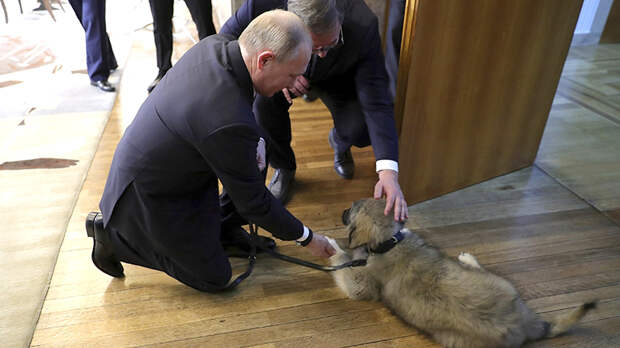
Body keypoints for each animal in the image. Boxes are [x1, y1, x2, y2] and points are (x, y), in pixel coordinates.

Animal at [330, 198, 596, 348]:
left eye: (351, 210)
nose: (341, 210)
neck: (390, 241)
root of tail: (523, 321)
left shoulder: (360, 284)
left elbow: (344, 266)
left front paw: (332, 247)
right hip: (502, 284)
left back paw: (468, 259)